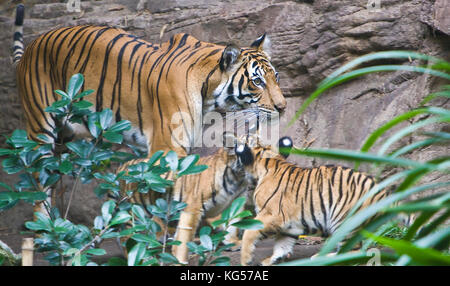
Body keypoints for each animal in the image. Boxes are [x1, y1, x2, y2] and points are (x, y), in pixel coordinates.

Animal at [12, 3, 286, 156]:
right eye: (257, 82)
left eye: (276, 77)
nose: (283, 108)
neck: (209, 94)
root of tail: (32, 46)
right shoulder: (168, 148)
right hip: (40, 128)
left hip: (69, 134)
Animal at [236, 136, 394, 266]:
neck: (272, 161)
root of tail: (385, 192)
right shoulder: (290, 225)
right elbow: (282, 245)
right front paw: (272, 260)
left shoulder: (272, 215)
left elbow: (248, 233)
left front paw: (245, 261)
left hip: (343, 219)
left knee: (353, 250)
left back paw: (321, 257)